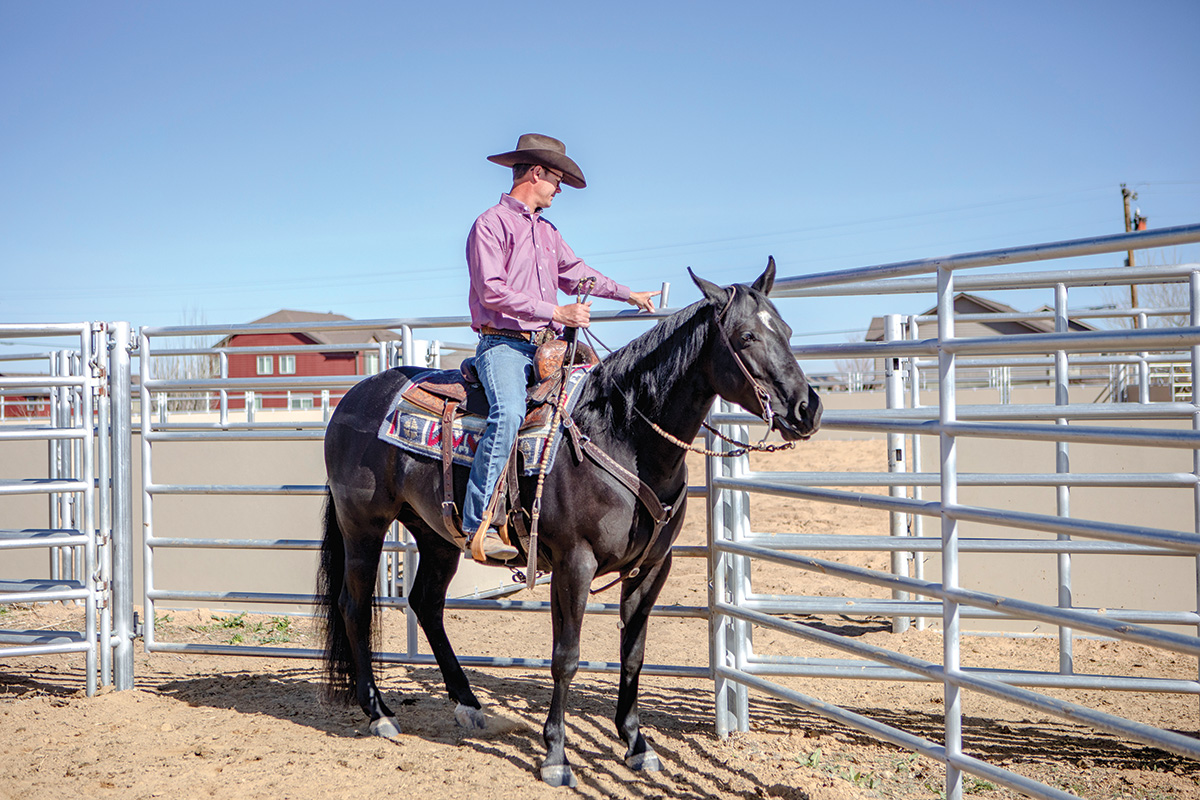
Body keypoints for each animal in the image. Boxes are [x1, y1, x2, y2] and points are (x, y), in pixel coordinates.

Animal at [319, 260, 820, 786]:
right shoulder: (574, 563)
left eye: (786, 330)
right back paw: (379, 713)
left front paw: (637, 745)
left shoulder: (651, 568)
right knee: (354, 606)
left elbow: (633, 655)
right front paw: (556, 756)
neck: (623, 434)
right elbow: (566, 657)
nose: (808, 408)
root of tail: (354, 397)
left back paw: (470, 705)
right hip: (364, 525)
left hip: (436, 533)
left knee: (427, 604)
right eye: (746, 336)